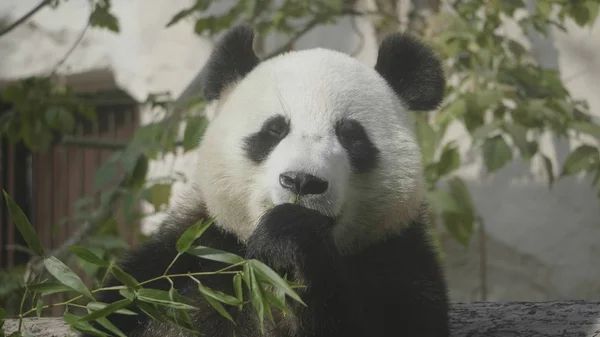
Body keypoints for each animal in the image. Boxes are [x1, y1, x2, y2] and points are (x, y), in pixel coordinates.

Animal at [85, 24, 450, 336]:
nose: (302, 181)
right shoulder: (185, 259)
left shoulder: (396, 259)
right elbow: (127, 306)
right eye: (275, 129)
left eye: (351, 135)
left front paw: (293, 238)